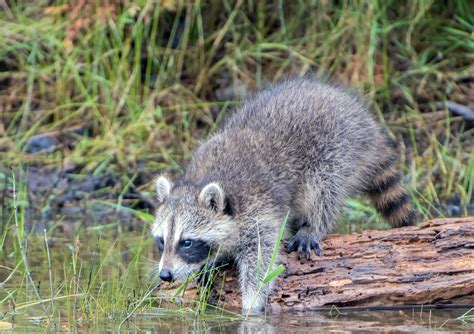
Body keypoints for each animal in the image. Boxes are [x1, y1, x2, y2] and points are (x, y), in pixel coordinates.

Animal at [153, 77, 414, 312]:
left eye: (186, 242)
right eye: (161, 240)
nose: (165, 274)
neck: (200, 181)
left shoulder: (257, 208)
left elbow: (262, 259)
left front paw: (252, 305)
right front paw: (212, 261)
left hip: (337, 148)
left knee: (323, 190)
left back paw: (312, 226)